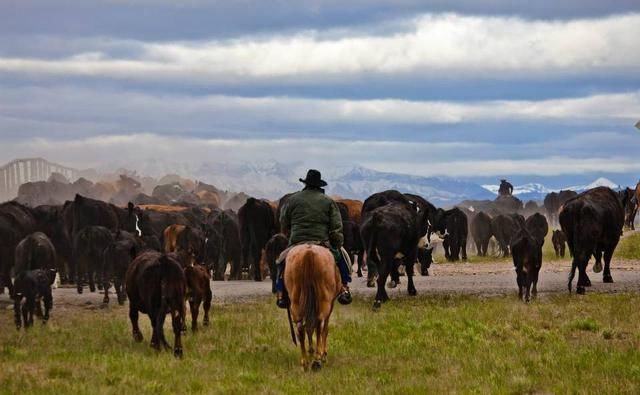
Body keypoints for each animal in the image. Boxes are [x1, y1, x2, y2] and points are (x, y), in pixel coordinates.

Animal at [284, 244, 342, 372]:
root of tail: (308, 253)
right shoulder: (330, 305)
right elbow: (324, 329)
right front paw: (322, 354)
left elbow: (309, 328)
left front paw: (311, 351)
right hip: (324, 302)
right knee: (319, 325)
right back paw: (317, 360)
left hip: (295, 303)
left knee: (301, 328)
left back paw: (305, 362)